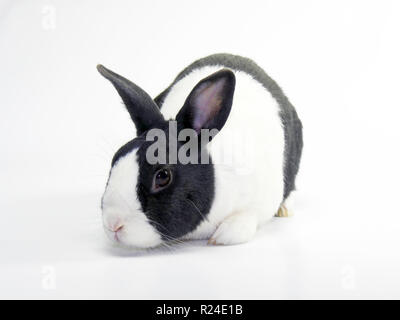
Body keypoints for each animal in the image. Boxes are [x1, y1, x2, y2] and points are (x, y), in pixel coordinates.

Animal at [97, 52, 304, 249]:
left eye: (163, 176)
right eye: (114, 160)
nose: (113, 224)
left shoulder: (261, 199)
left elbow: (246, 218)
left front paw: (222, 236)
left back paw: (285, 210)